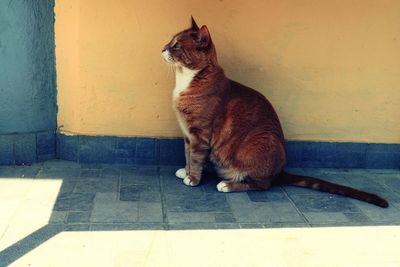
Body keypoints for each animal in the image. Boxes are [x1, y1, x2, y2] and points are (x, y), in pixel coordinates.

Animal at [162, 17, 388, 209]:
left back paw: (227, 184)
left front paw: (193, 178)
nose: (163, 48)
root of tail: (280, 171)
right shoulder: (188, 135)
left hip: (259, 143)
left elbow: (196, 158)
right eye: (171, 42)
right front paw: (186, 171)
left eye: (177, 45)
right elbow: (187, 154)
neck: (189, 79)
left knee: (262, 184)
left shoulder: (199, 133)